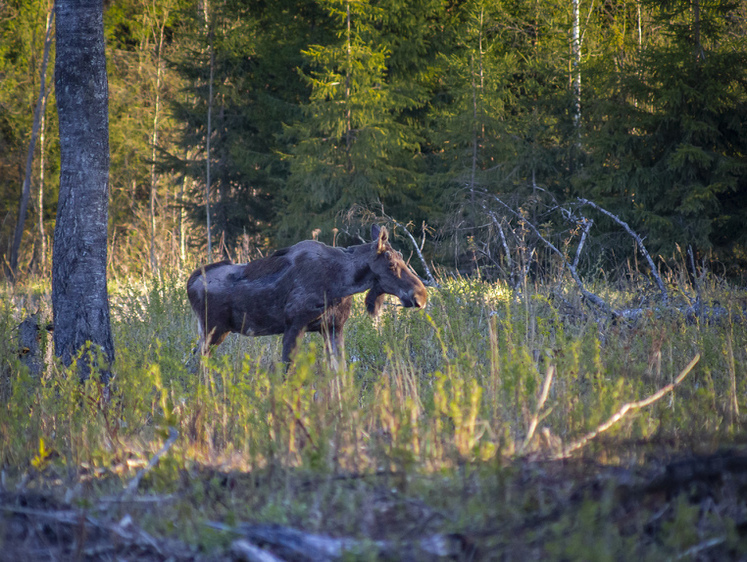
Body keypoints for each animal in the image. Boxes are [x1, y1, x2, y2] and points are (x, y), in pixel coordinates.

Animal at [187, 225, 430, 366]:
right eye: (391, 263)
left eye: (401, 257)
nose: (421, 296)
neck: (342, 283)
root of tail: (190, 283)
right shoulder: (295, 325)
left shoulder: (333, 327)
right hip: (213, 329)